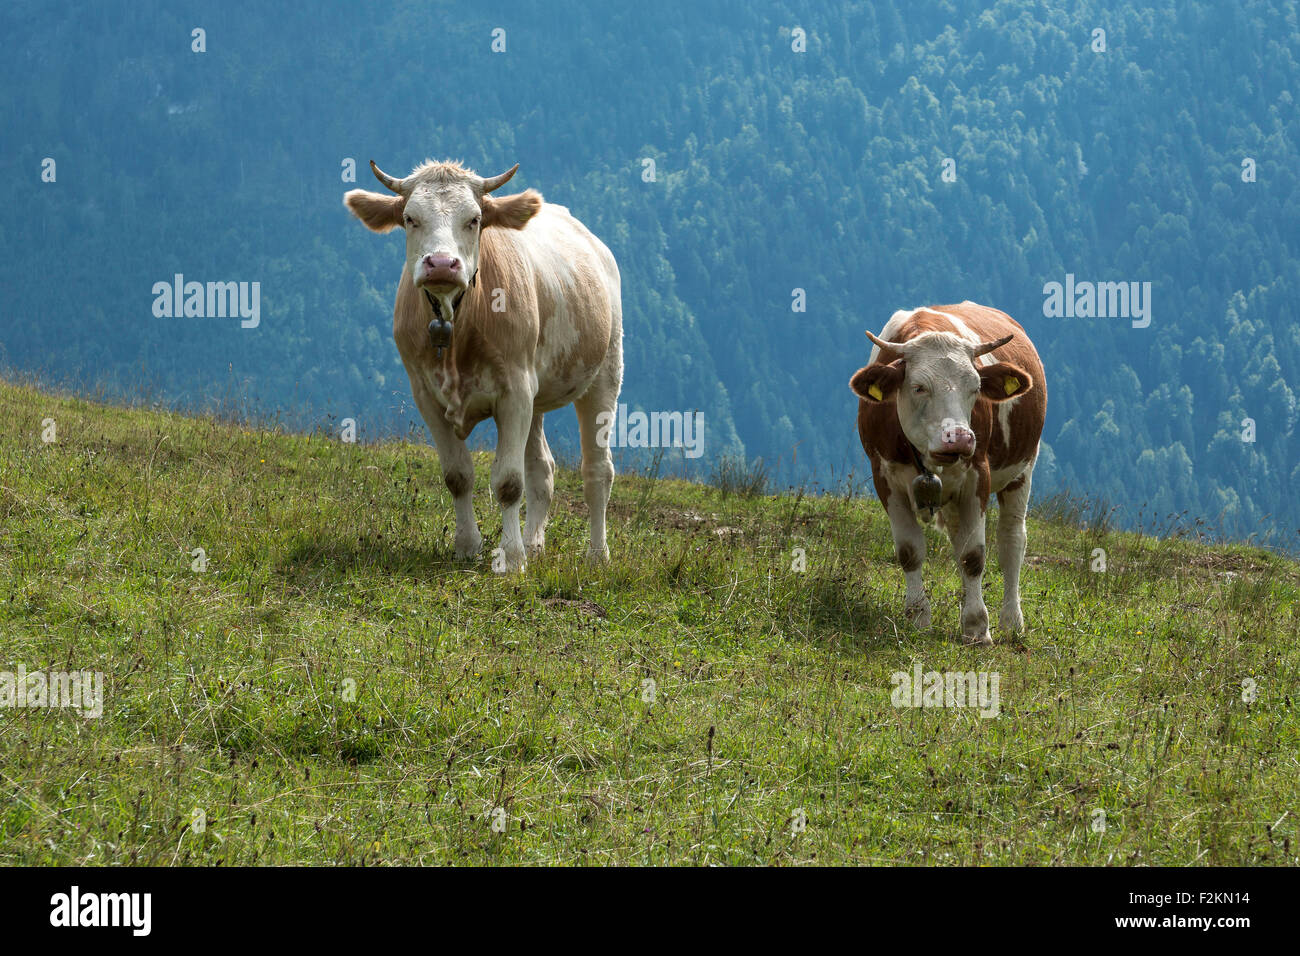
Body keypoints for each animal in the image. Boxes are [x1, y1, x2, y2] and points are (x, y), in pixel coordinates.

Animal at [343, 160, 621, 572]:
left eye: (474, 219)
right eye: (410, 218)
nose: (442, 264)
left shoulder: (515, 391)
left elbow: (508, 482)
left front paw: (512, 558)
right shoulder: (426, 394)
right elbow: (457, 476)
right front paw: (467, 545)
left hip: (604, 372)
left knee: (597, 470)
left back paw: (597, 555)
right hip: (536, 396)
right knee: (543, 468)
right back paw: (535, 543)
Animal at [852, 303, 1045, 647]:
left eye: (976, 388)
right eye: (918, 387)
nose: (959, 438)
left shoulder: (977, 477)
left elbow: (973, 556)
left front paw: (977, 626)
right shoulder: (884, 479)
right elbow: (910, 551)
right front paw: (918, 617)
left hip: (1023, 469)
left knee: (1011, 541)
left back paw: (1011, 621)